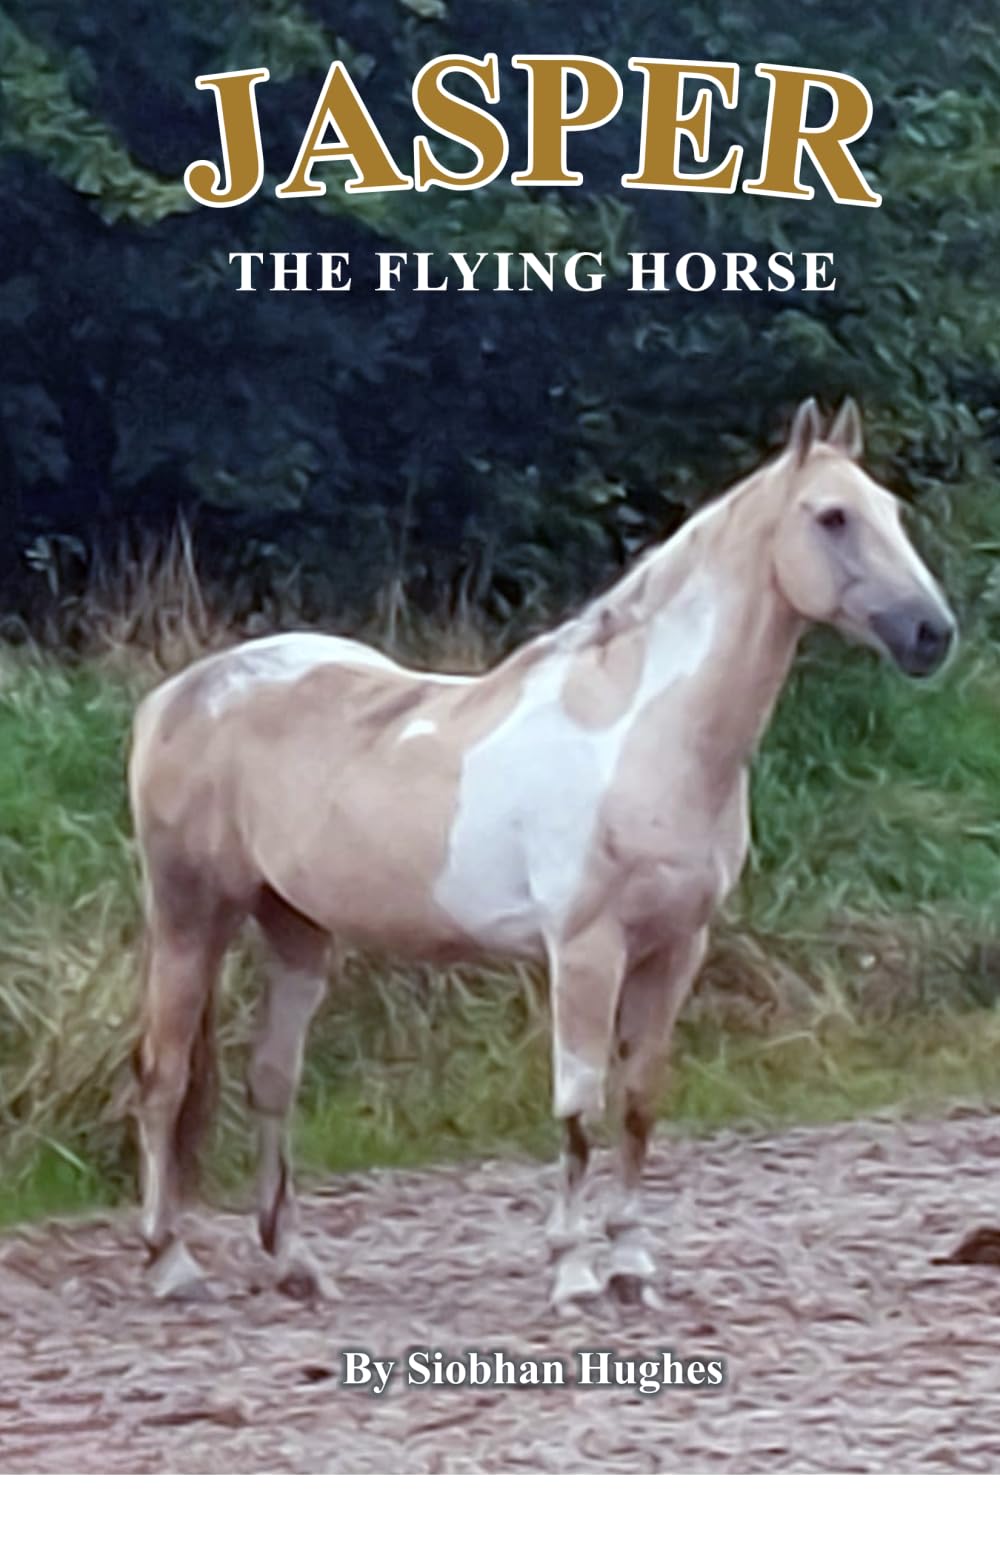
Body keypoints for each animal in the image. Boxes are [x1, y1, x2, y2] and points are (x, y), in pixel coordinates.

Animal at [129, 399, 956, 1308]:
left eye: (893, 512)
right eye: (832, 516)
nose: (931, 633)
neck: (643, 731)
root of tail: (177, 695)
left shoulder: (677, 948)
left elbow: (639, 1102)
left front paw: (631, 1263)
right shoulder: (586, 951)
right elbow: (580, 1108)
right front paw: (572, 1269)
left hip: (297, 930)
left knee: (271, 1078)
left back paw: (296, 1263)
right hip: (189, 917)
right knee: (164, 1077)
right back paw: (170, 1261)